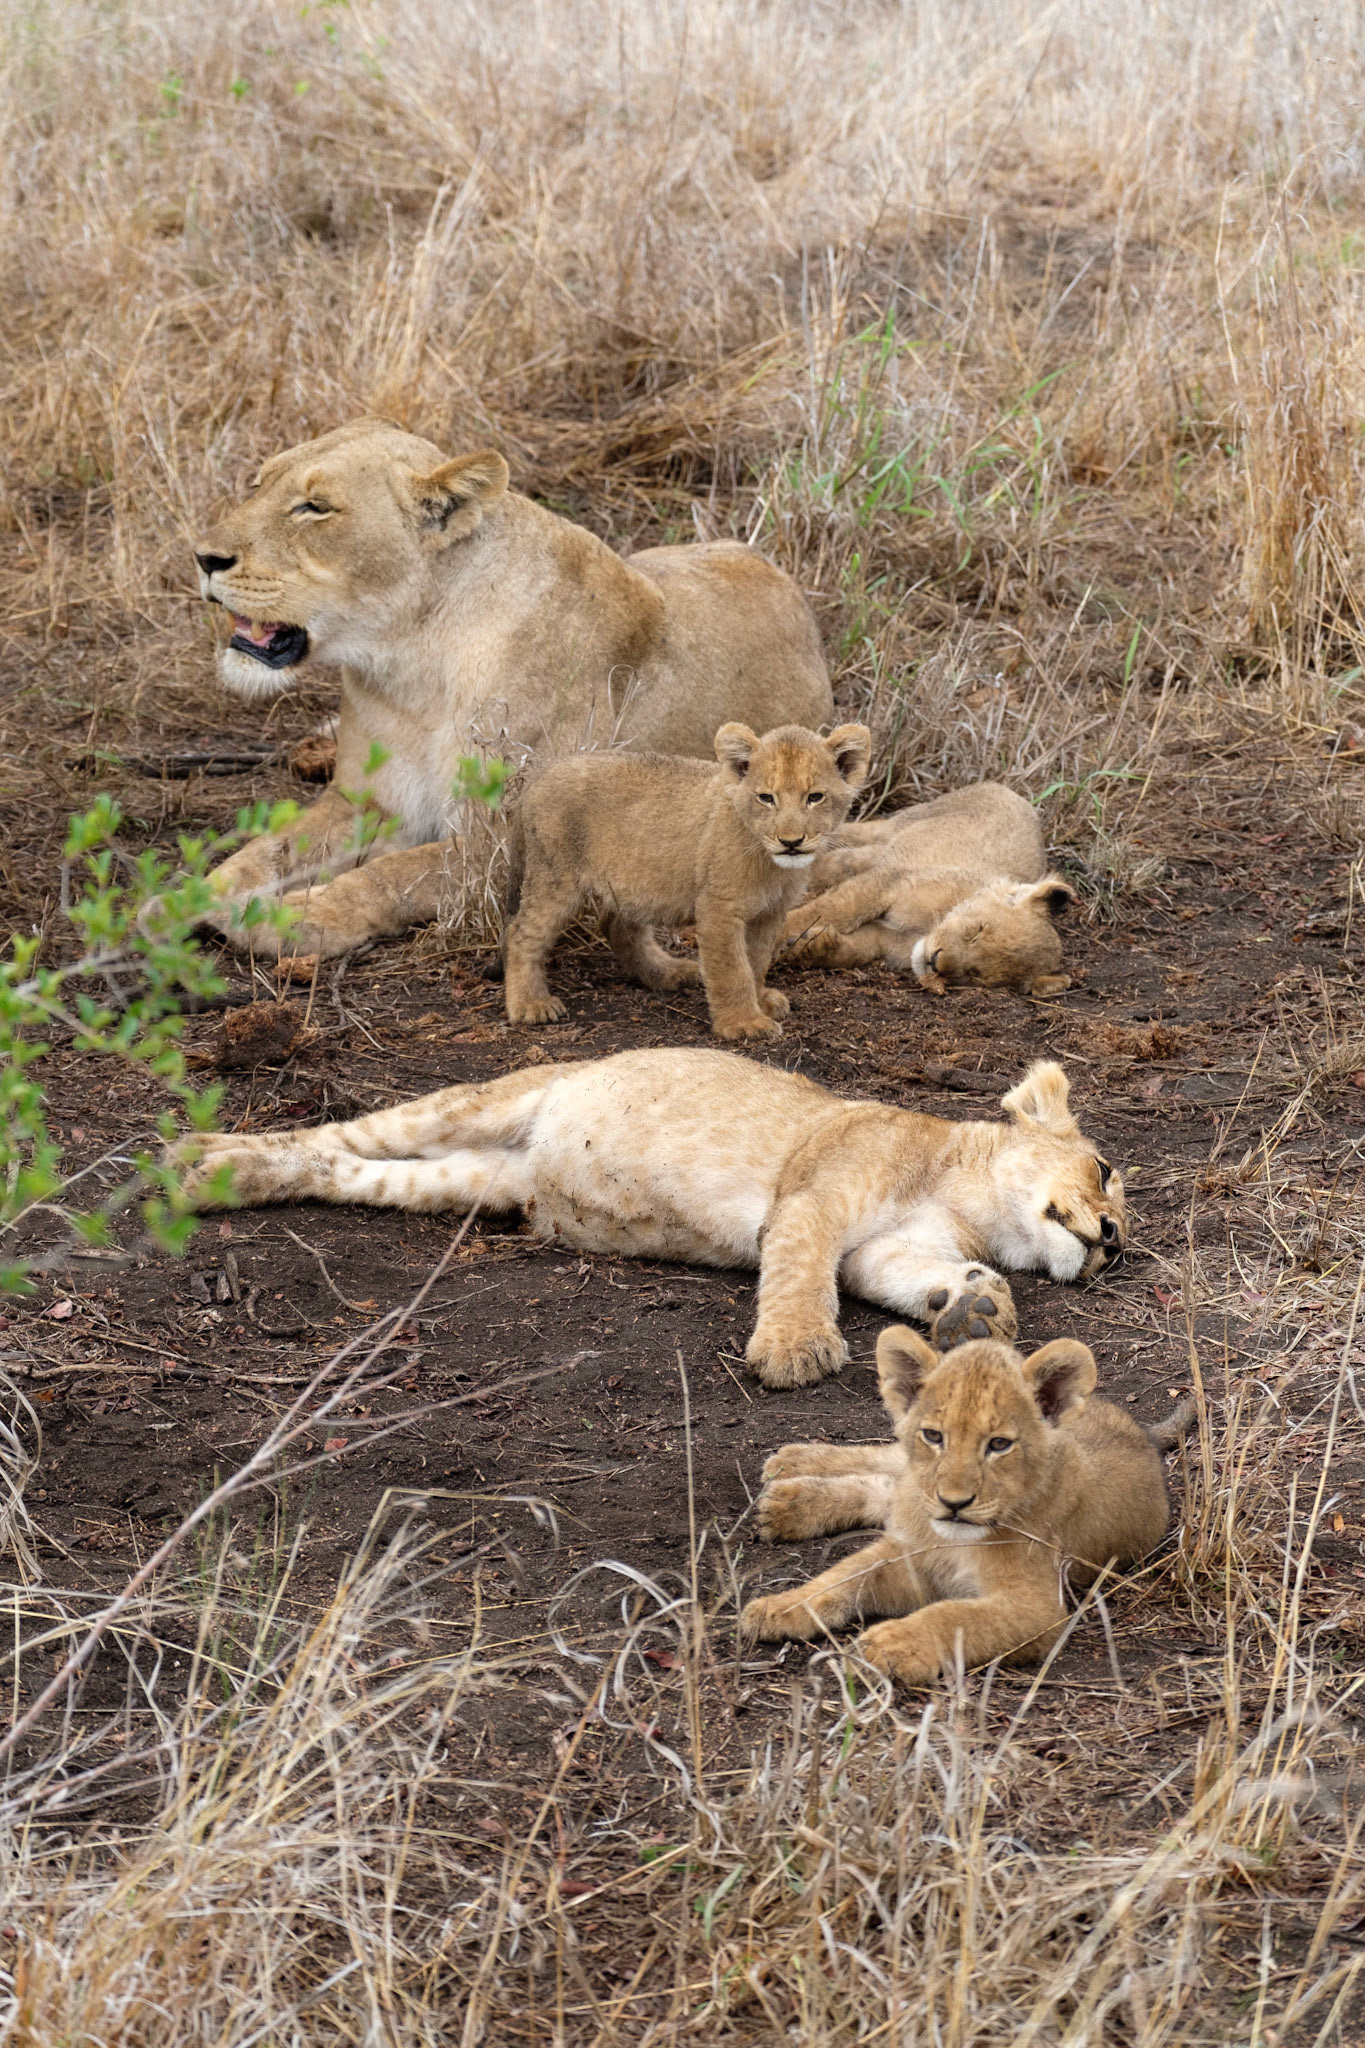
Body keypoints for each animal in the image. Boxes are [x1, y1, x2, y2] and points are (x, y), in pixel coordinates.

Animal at [173, 1052, 1125, 1389]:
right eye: (1104, 1172)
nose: (1112, 1245)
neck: (962, 1199)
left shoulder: (882, 1250)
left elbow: (903, 1278)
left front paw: (975, 1307)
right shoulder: (812, 1200)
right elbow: (799, 1277)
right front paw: (793, 1353)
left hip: (467, 1181)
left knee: (344, 1169)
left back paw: (224, 1177)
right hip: (475, 1104)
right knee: (334, 1134)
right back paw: (200, 1160)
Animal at [183, 417, 831, 959]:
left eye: (314, 508)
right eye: (260, 484)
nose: (204, 557)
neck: (411, 665)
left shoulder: (509, 843)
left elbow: (390, 875)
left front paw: (295, 918)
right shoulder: (363, 801)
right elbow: (269, 847)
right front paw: (193, 898)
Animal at [503, 721, 871, 1038]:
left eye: (815, 797)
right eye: (766, 798)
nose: (791, 842)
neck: (771, 865)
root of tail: (540, 773)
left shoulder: (770, 913)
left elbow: (756, 961)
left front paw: (761, 1000)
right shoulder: (719, 908)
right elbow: (732, 969)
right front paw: (743, 1023)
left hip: (633, 880)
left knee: (617, 927)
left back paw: (670, 973)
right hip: (556, 875)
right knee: (521, 932)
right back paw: (529, 1004)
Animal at [741, 1323, 1190, 1684]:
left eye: (999, 1444)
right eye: (934, 1436)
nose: (952, 1502)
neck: (954, 1540)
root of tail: (1144, 1432)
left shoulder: (1039, 1610)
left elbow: (954, 1617)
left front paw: (890, 1645)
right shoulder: (911, 1551)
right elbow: (844, 1577)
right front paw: (780, 1607)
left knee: (885, 1487)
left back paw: (783, 1499)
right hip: (912, 1481)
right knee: (885, 1463)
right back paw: (788, 1473)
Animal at [783, 782, 1075, 996]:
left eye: (976, 974)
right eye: (976, 931)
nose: (936, 962)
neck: (928, 927)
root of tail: (1012, 791)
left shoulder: (888, 940)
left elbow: (857, 947)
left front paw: (811, 948)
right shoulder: (890, 882)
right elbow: (834, 909)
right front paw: (784, 929)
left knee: (845, 858)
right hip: (898, 825)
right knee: (841, 840)